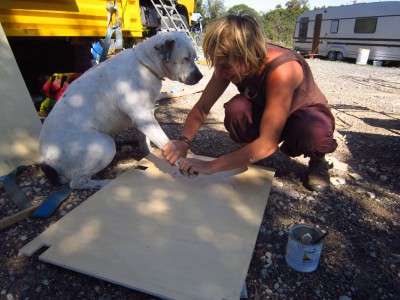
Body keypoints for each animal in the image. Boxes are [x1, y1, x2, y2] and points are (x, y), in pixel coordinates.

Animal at [39, 31, 203, 189]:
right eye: (185, 58)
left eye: (195, 58)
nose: (200, 76)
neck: (145, 64)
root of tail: (46, 161)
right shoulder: (144, 118)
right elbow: (165, 142)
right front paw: (181, 162)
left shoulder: (142, 118)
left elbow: (146, 142)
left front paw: (149, 157)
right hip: (105, 144)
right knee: (77, 183)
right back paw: (105, 183)